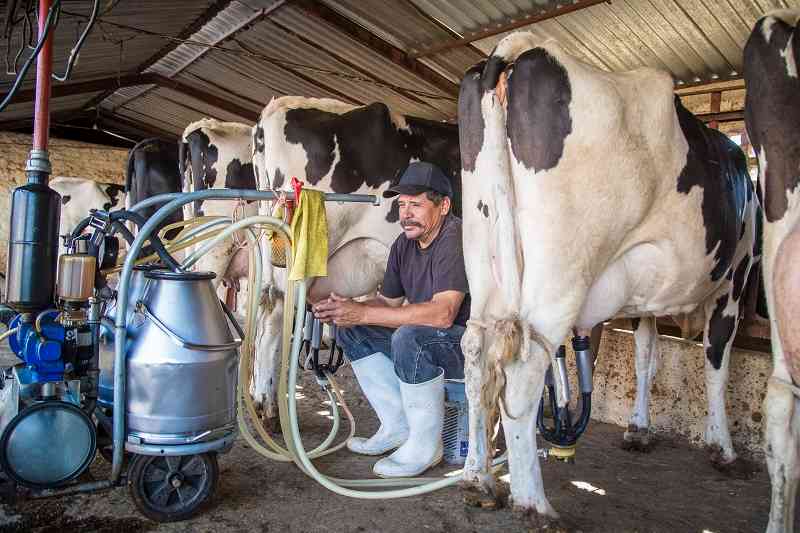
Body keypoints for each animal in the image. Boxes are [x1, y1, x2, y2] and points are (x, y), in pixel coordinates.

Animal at [460, 35, 760, 516]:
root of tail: (523, 50)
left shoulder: (645, 301)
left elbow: (645, 355)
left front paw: (638, 428)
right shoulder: (733, 281)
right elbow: (717, 363)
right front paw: (723, 448)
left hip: (485, 261)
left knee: (476, 357)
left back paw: (478, 480)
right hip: (561, 272)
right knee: (523, 369)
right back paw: (534, 504)